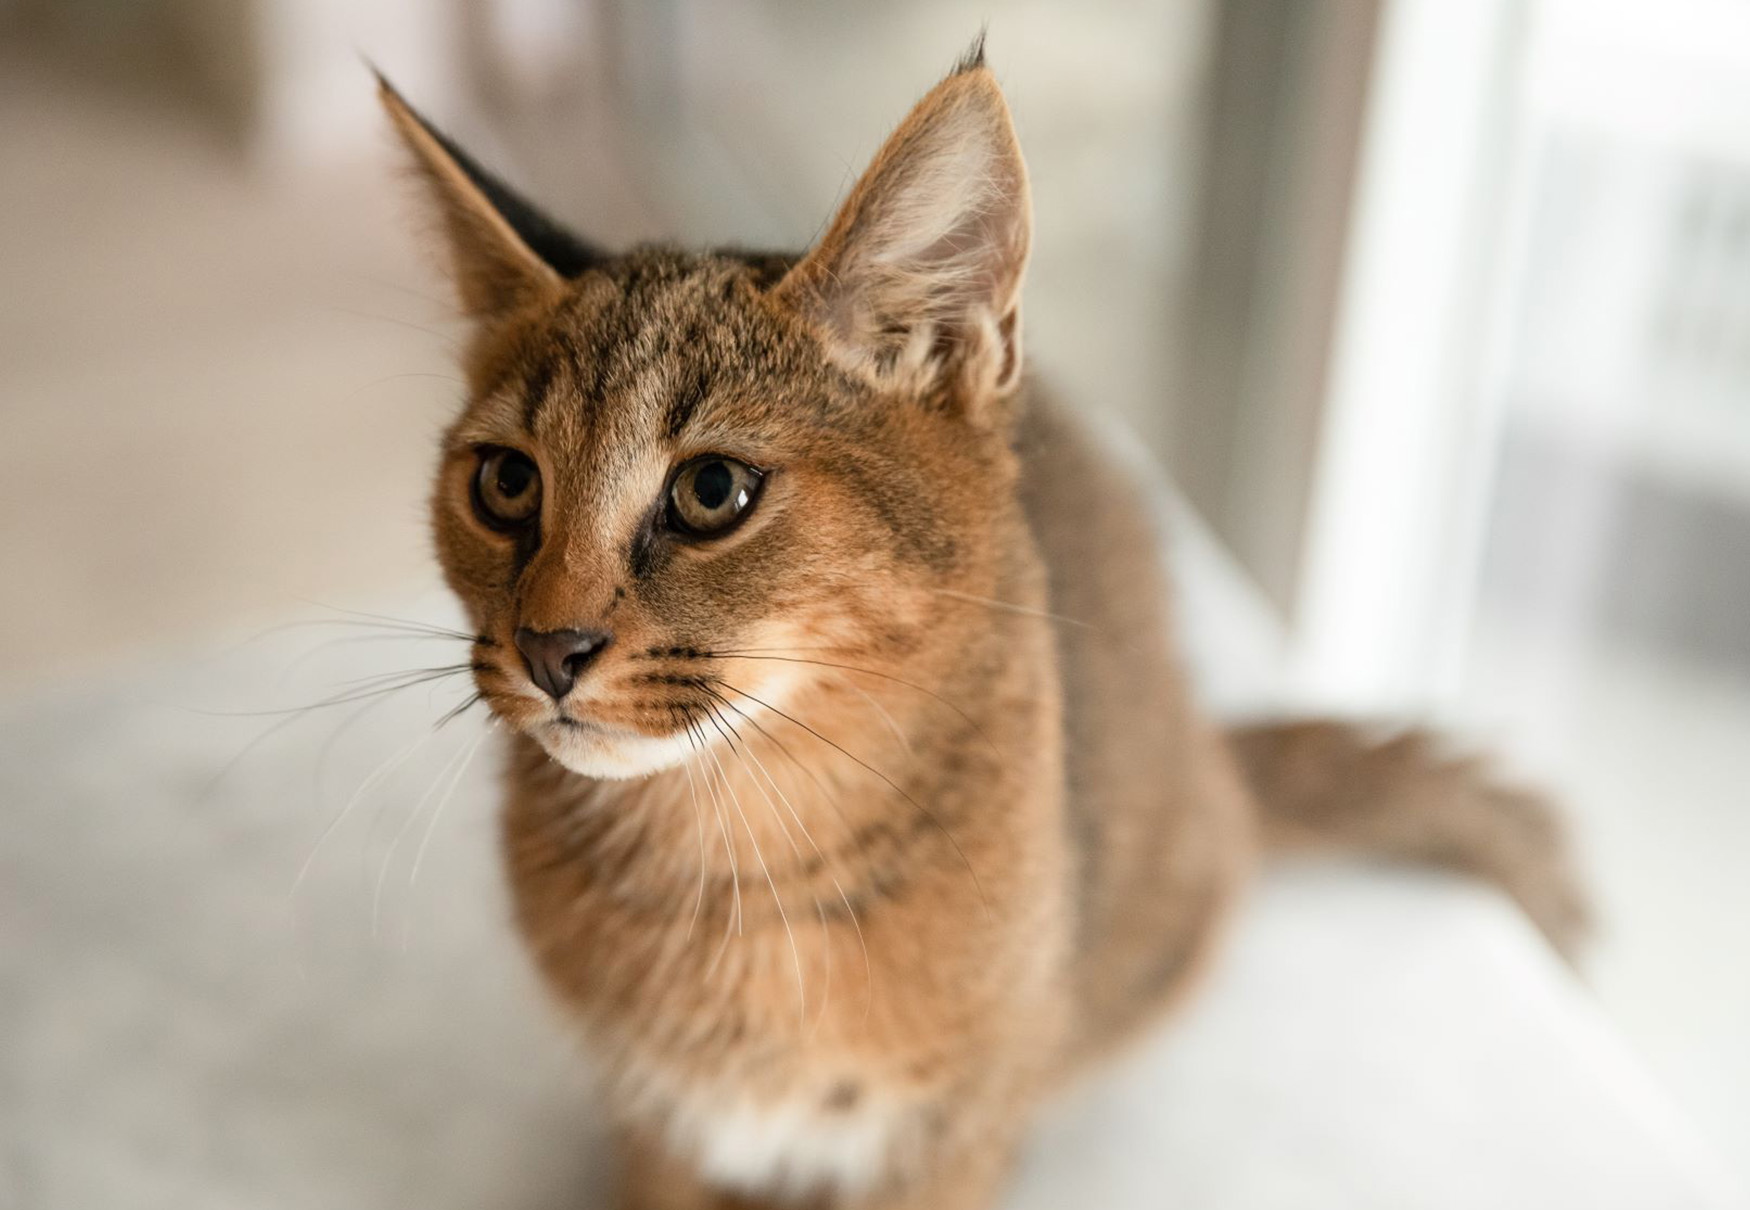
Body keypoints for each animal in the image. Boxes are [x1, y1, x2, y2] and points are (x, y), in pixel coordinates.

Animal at [376, 37, 1596, 1210]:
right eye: (505, 484)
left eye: (712, 490)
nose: (548, 647)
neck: (732, 872)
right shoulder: (656, 1125)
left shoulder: (941, 1138)